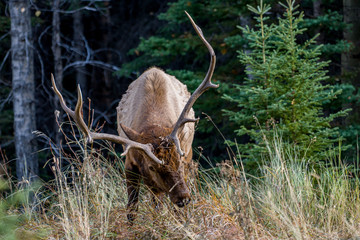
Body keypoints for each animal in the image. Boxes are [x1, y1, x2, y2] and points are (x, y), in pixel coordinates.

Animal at [51, 11, 217, 221]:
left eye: (177, 161)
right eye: (153, 167)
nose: (183, 198)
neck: (154, 123)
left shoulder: (183, 159)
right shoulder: (130, 163)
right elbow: (131, 210)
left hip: (190, 156)